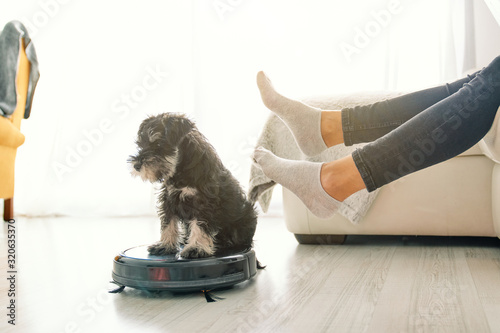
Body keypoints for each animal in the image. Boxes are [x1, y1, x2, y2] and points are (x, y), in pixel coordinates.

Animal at [129, 113, 258, 258]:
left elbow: (199, 226)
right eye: (141, 144)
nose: (136, 166)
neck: (179, 169)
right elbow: (168, 223)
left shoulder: (202, 203)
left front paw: (196, 248)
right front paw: (165, 245)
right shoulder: (168, 199)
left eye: (158, 143)